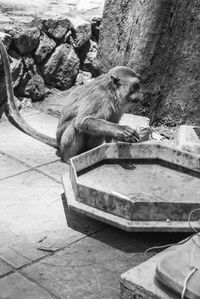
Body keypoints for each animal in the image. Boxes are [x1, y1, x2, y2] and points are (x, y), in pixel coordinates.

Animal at [0, 39, 144, 164]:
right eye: (135, 86)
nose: (140, 94)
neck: (112, 92)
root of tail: (58, 142)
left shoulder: (120, 104)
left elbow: (111, 123)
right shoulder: (98, 97)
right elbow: (82, 122)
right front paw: (122, 130)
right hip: (64, 142)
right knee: (76, 125)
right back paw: (70, 159)